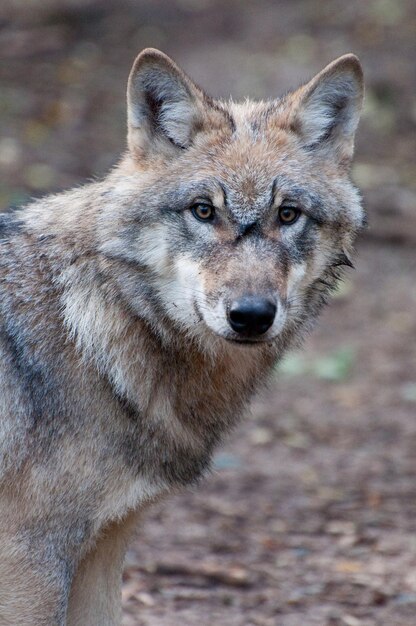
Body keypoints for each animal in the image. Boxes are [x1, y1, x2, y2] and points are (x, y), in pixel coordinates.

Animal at [0, 46, 364, 620]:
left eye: (288, 215)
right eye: (203, 211)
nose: (251, 315)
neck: (88, 329)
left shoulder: (104, 548)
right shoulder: (30, 557)